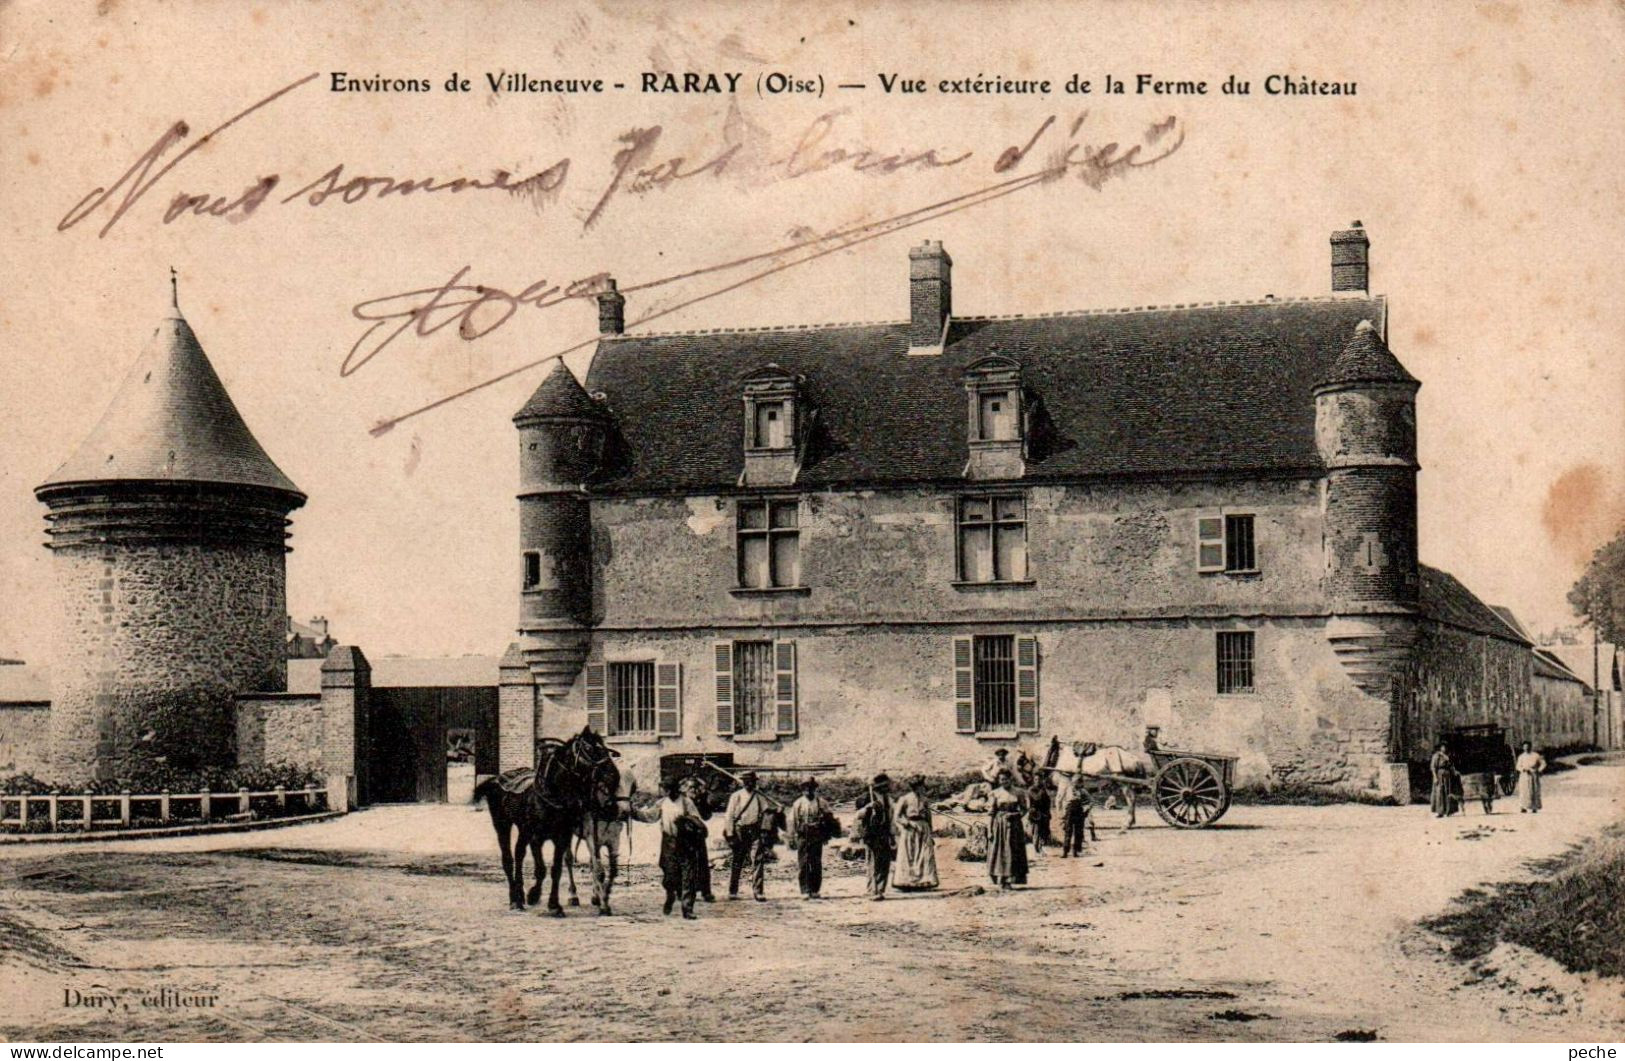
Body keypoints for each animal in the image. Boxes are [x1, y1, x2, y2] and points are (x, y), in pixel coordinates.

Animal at [474, 724, 620, 916]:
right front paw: (534, 895)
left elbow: (555, 869)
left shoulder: (562, 836)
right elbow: (541, 869)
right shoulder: (537, 837)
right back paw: (515, 899)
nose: (613, 774)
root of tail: (496, 778)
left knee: (519, 854)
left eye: (603, 746)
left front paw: (553, 904)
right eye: (589, 748)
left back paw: (521, 895)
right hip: (502, 824)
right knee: (509, 859)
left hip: (524, 830)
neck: (553, 794)